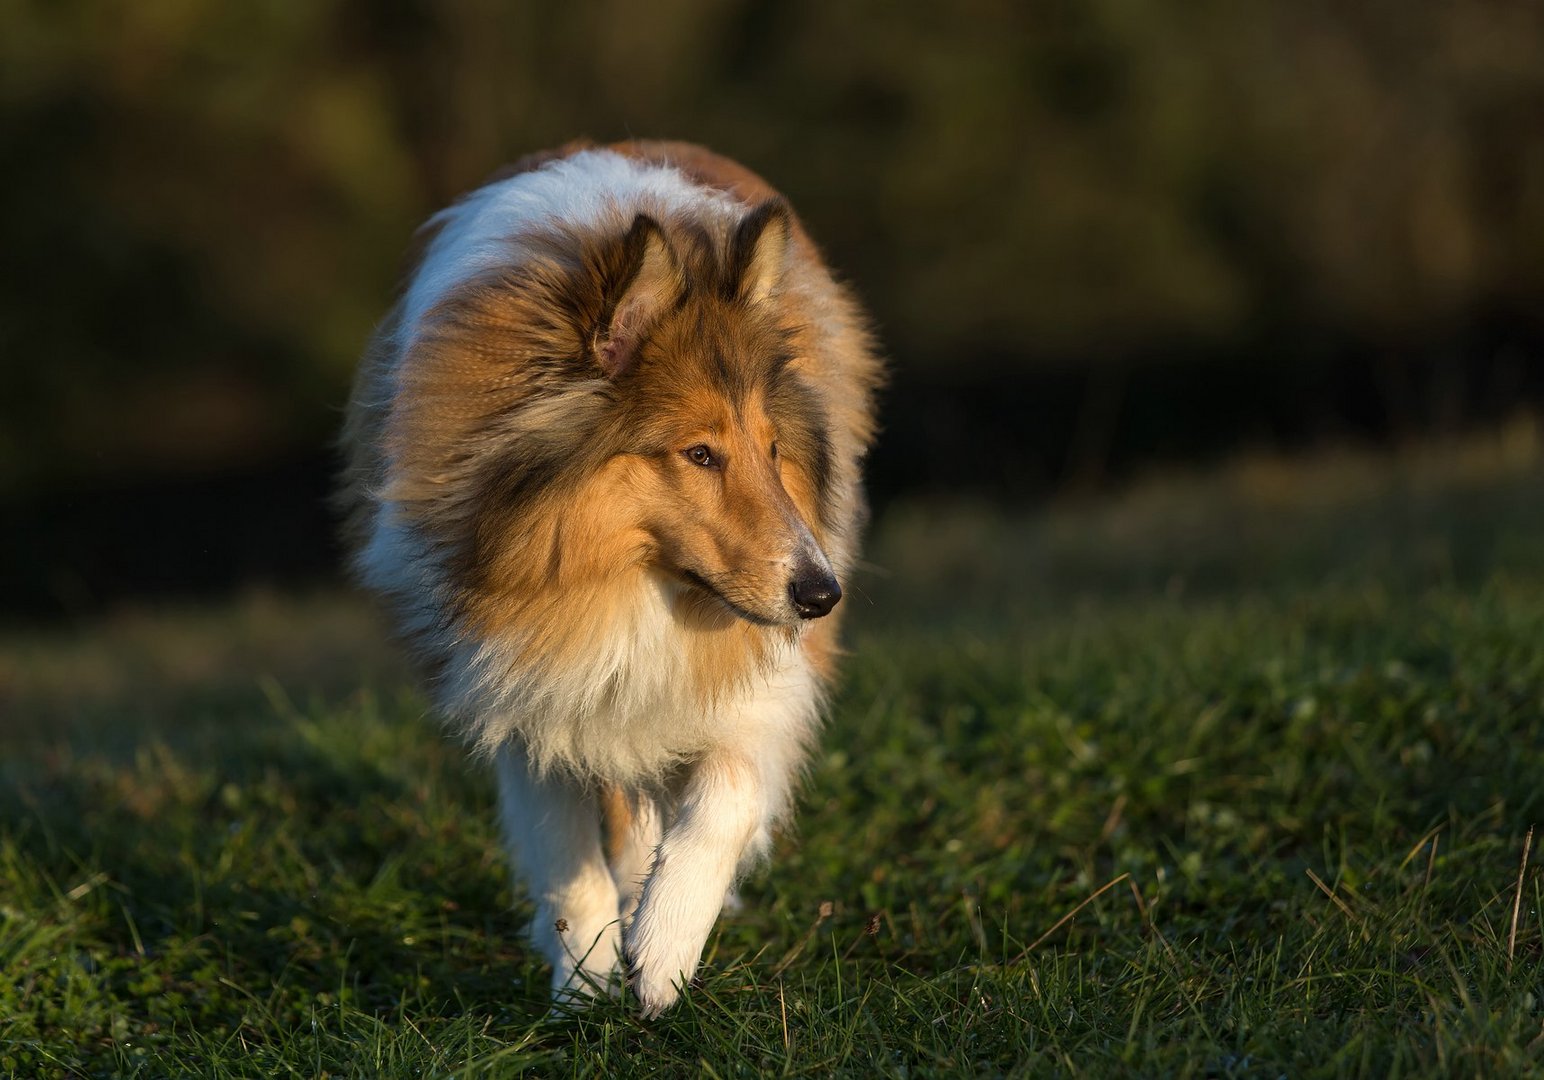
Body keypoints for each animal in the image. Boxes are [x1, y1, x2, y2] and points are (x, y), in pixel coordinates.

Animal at [341, 139, 883, 1019]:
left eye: (773, 449)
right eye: (699, 453)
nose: (821, 596)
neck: (621, 589)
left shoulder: (758, 675)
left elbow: (728, 793)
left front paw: (663, 950)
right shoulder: (526, 691)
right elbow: (568, 863)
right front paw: (585, 980)